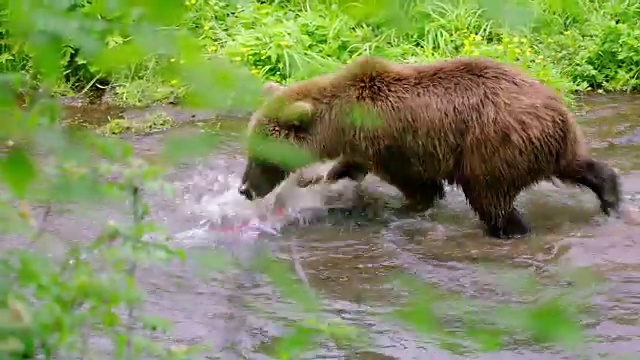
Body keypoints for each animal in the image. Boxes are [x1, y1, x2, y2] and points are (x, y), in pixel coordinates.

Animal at [238, 55, 624, 239]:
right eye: (249, 149)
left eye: (260, 156)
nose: (244, 189)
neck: (343, 122)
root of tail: (556, 109)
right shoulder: (368, 147)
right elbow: (350, 165)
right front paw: (318, 178)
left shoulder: (396, 145)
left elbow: (420, 187)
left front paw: (404, 208)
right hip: (549, 143)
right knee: (580, 165)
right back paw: (611, 196)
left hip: (492, 145)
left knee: (490, 198)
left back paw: (508, 230)